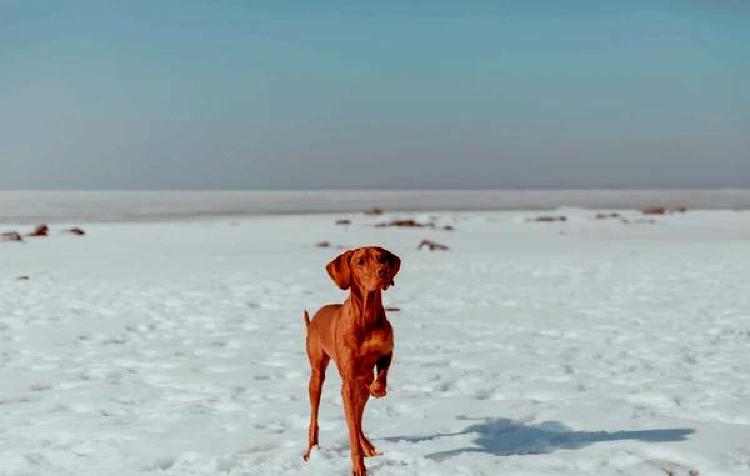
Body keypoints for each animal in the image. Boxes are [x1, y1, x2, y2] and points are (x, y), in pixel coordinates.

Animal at [302, 245, 402, 476]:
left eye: (382, 259)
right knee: (317, 418)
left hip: (359, 383)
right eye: (360, 262)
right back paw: (312, 451)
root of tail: (316, 317)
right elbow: (351, 428)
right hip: (317, 377)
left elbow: (381, 378)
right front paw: (358, 467)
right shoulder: (347, 380)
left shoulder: (386, 353)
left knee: (357, 416)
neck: (366, 317)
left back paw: (368, 446)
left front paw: (378, 389)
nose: (384, 272)